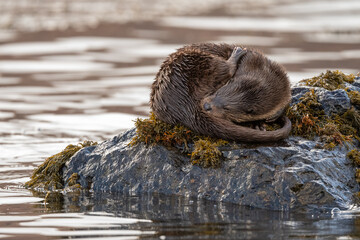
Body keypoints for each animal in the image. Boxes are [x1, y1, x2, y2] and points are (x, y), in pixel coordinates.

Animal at [150, 42, 292, 142]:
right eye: (219, 91)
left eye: (227, 108)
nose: (207, 106)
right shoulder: (254, 58)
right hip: (193, 60)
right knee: (225, 68)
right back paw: (237, 53)